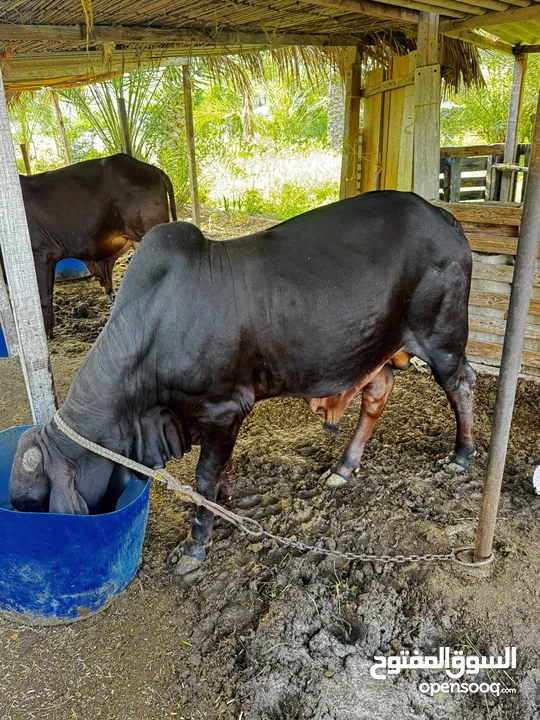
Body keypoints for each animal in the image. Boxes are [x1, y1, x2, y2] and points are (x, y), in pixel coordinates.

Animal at [9, 190, 476, 572]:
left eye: (30, 502)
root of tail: (442, 215)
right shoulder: (217, 416)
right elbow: (222, 469)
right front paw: (225, 502)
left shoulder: (222, 408)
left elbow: (203, 478)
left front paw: (195, 546)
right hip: (378, 351)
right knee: (379, 393)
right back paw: (344, 467)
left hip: (442, 338)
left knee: (462, 383)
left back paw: (461, 455)